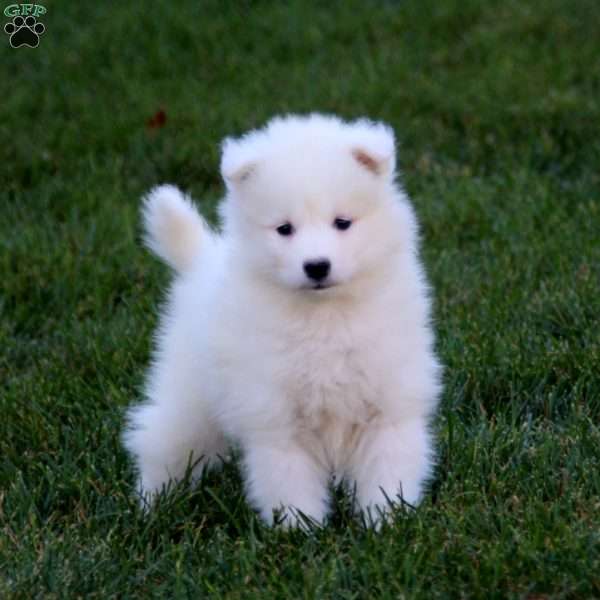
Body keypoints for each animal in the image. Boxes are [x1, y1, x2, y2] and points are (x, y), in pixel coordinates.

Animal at [123, 112, 440, 524]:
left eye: (342, 222)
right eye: (284, 229)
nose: (317, 266)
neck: (326, 317)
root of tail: (201, 261)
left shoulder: (389, 408)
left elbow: (387, 471)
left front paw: (386, 521)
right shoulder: (276, 419)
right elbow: (289, 482)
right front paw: (299, 530)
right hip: (189, 397)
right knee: (161, 441)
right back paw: (152, 506)